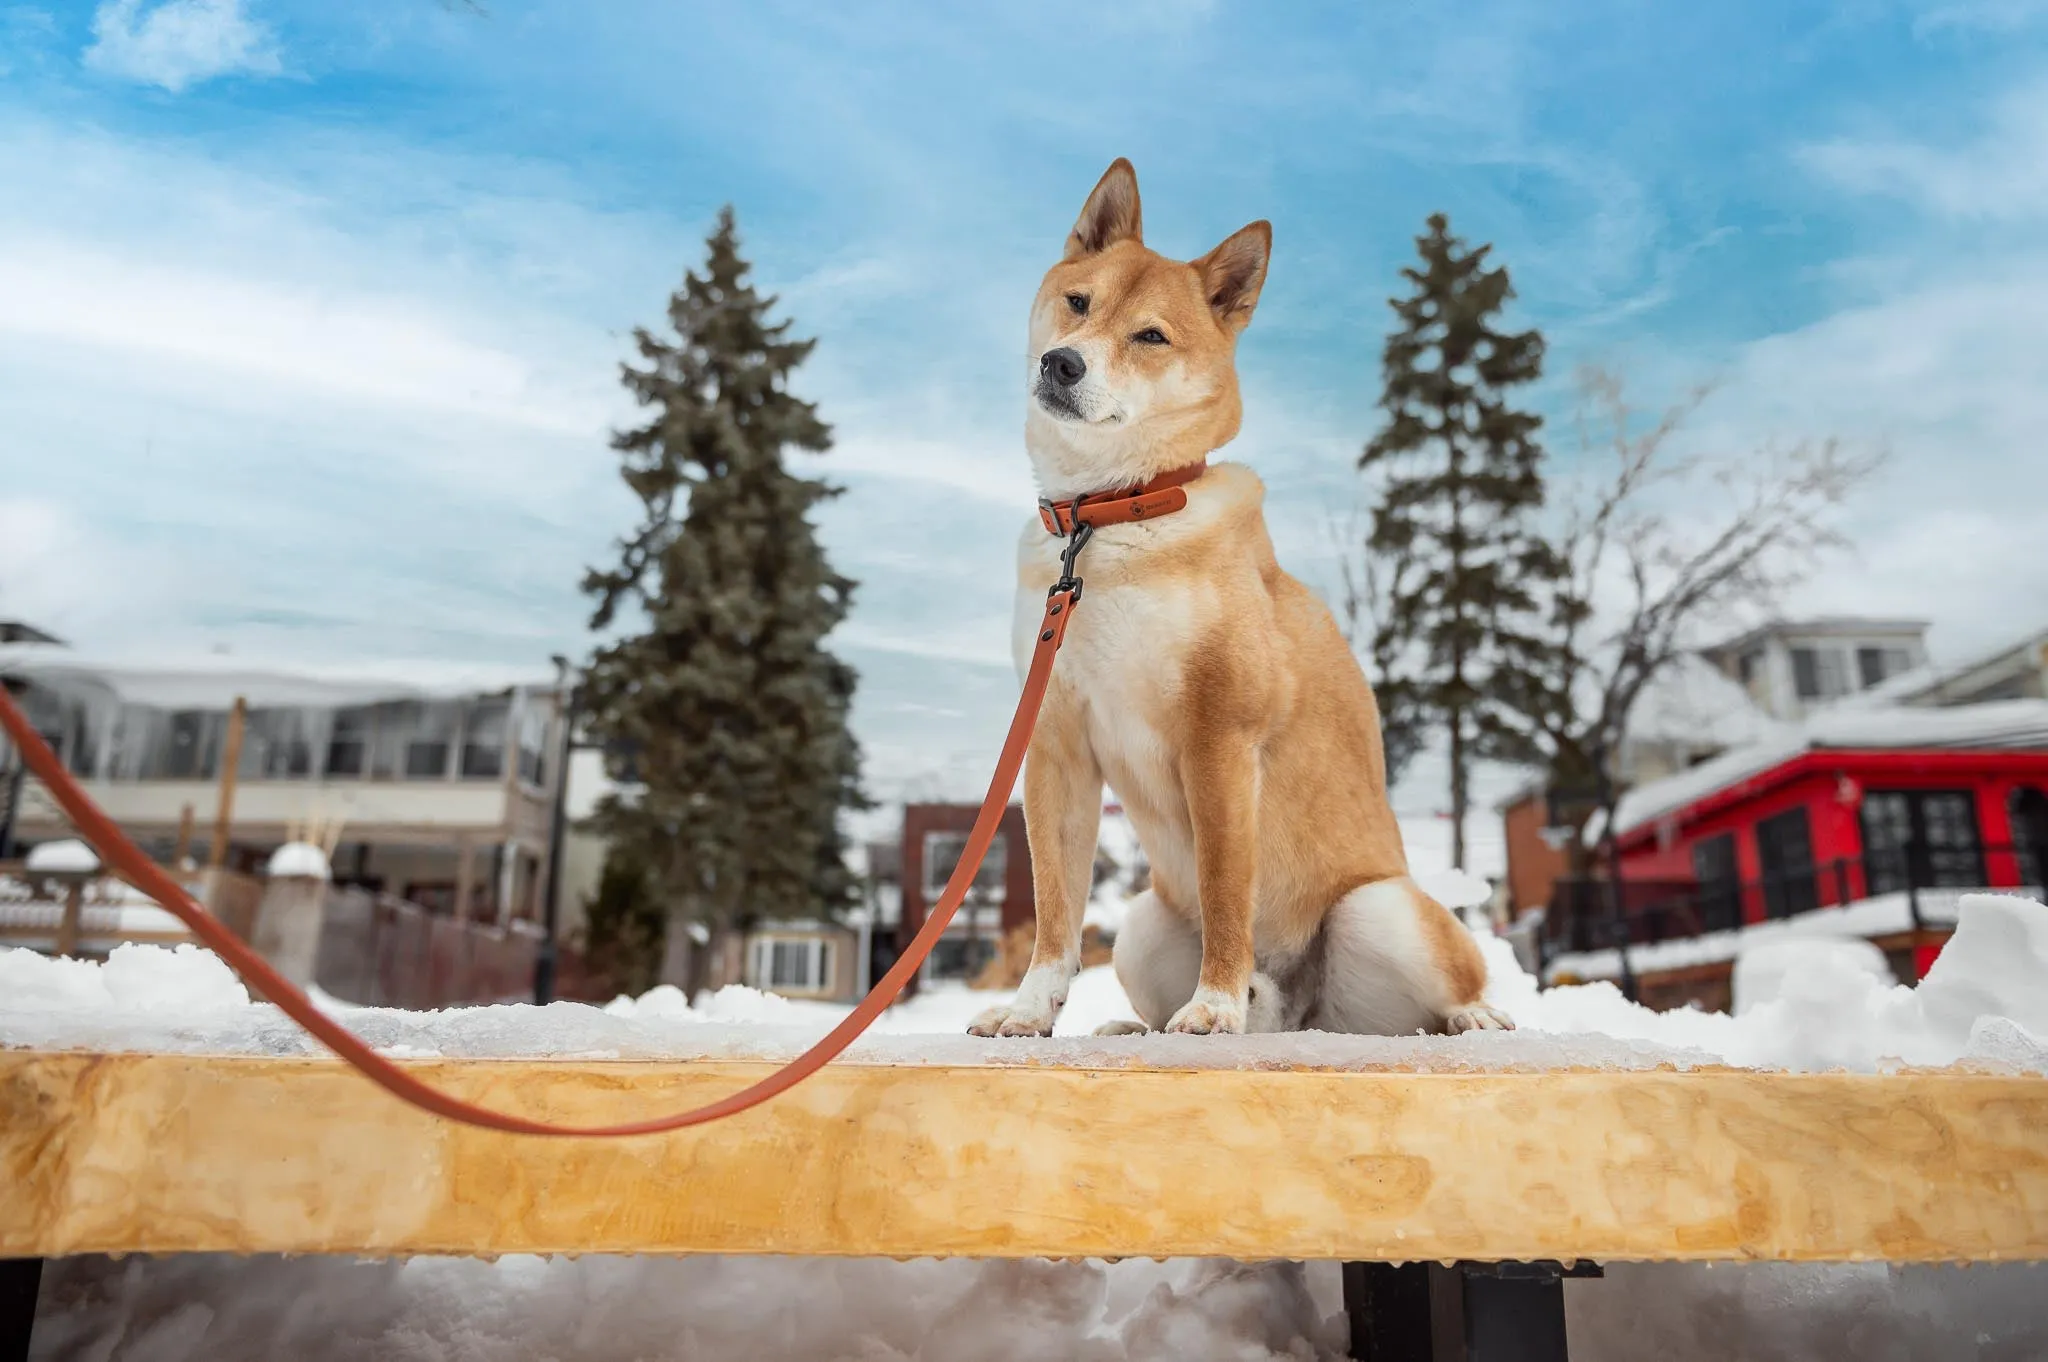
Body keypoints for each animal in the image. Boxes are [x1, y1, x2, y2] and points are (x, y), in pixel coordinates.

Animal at [966, 153, 1515, 1036]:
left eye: (1151, 336)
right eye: (1078, 303)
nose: (1062, 363)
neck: (1109, 516)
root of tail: (1296, 1011)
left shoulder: (1218, 736)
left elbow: (1228, 889)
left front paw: (1214, 1007)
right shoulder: (1055, 746)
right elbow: (1055, 912)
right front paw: (1027, 1011)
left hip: (1380, 913)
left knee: (1439, 997)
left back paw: (1466, 1018)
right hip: (1143, 927)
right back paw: (1139, 1024)